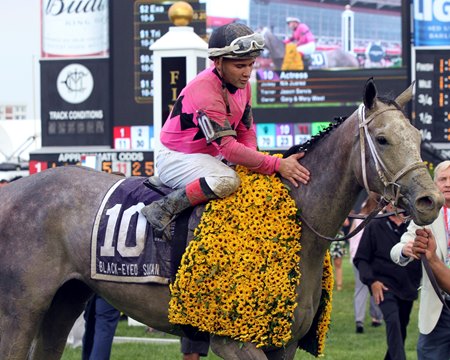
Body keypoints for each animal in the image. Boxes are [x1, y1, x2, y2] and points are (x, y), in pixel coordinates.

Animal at [0, 79, 442, 360]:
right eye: (382, 139)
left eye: (419, 138)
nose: (430, 200)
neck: (298, 222)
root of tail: (12, 190)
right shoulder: (232, 341)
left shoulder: (281, 345)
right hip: (21, 311)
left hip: (65, 301)